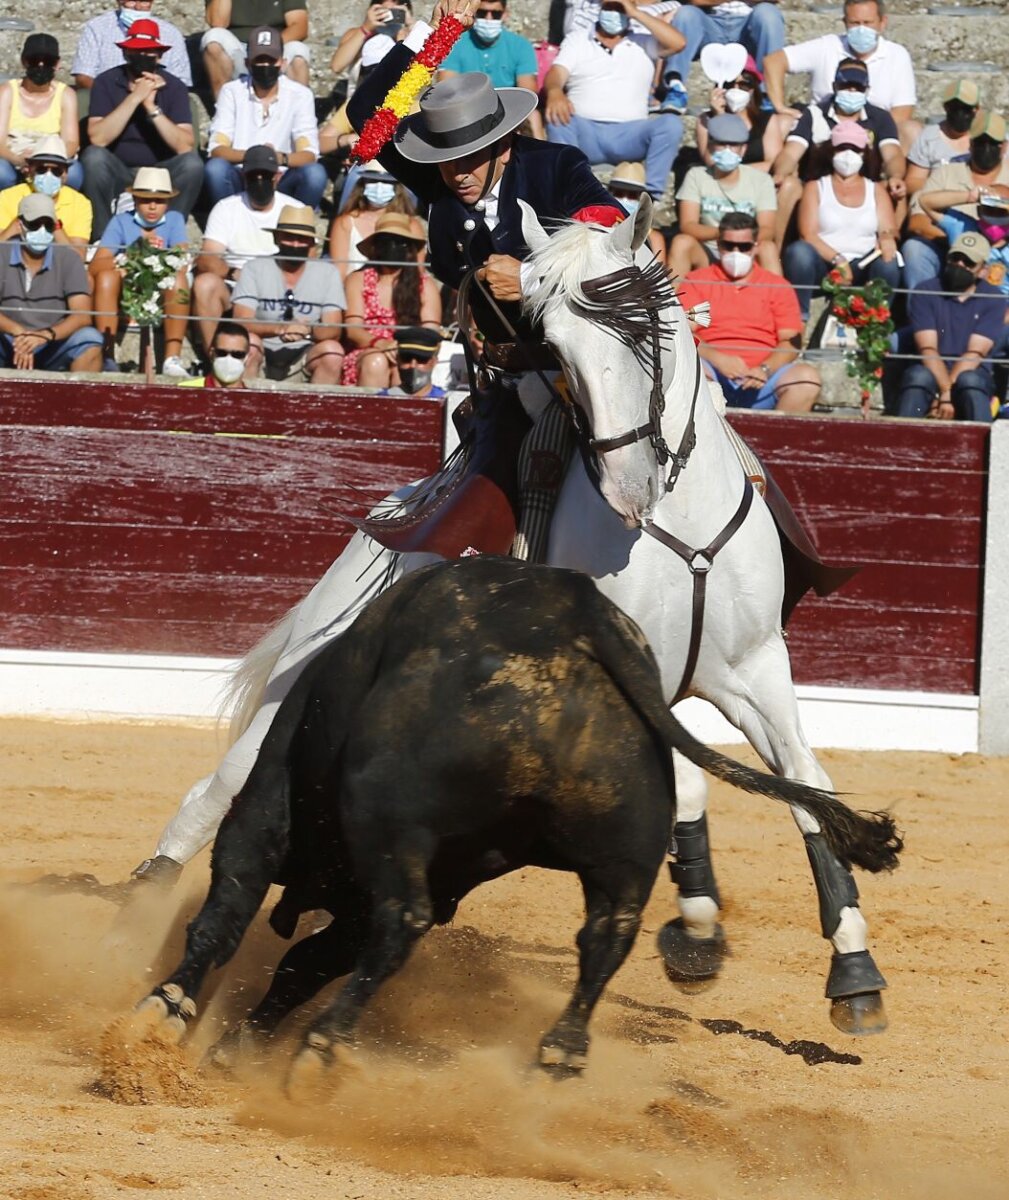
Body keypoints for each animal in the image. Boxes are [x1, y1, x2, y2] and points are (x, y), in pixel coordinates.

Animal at [139, 556, 897, 1075]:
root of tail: (580, 618)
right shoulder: (424, 881)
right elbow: (307, 960)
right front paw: (235, 1045)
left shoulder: (272, 808)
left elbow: (229, 911)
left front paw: (170, 1011)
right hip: (620, 851)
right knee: (605, 938)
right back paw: (558, 1055)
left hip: (388, 822)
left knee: (400, 919)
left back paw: (322, 1048)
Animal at [153, 196, 892, 1032]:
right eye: (554, 346)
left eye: (645, 329)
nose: (629, 487)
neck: (675, 523)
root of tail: (394, 513)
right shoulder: (637, 680)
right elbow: (692, 784)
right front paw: (698, 932)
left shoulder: (756, 667)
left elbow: (806, 784)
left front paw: (853, 966)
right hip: (303, 685)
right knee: (215, 794)